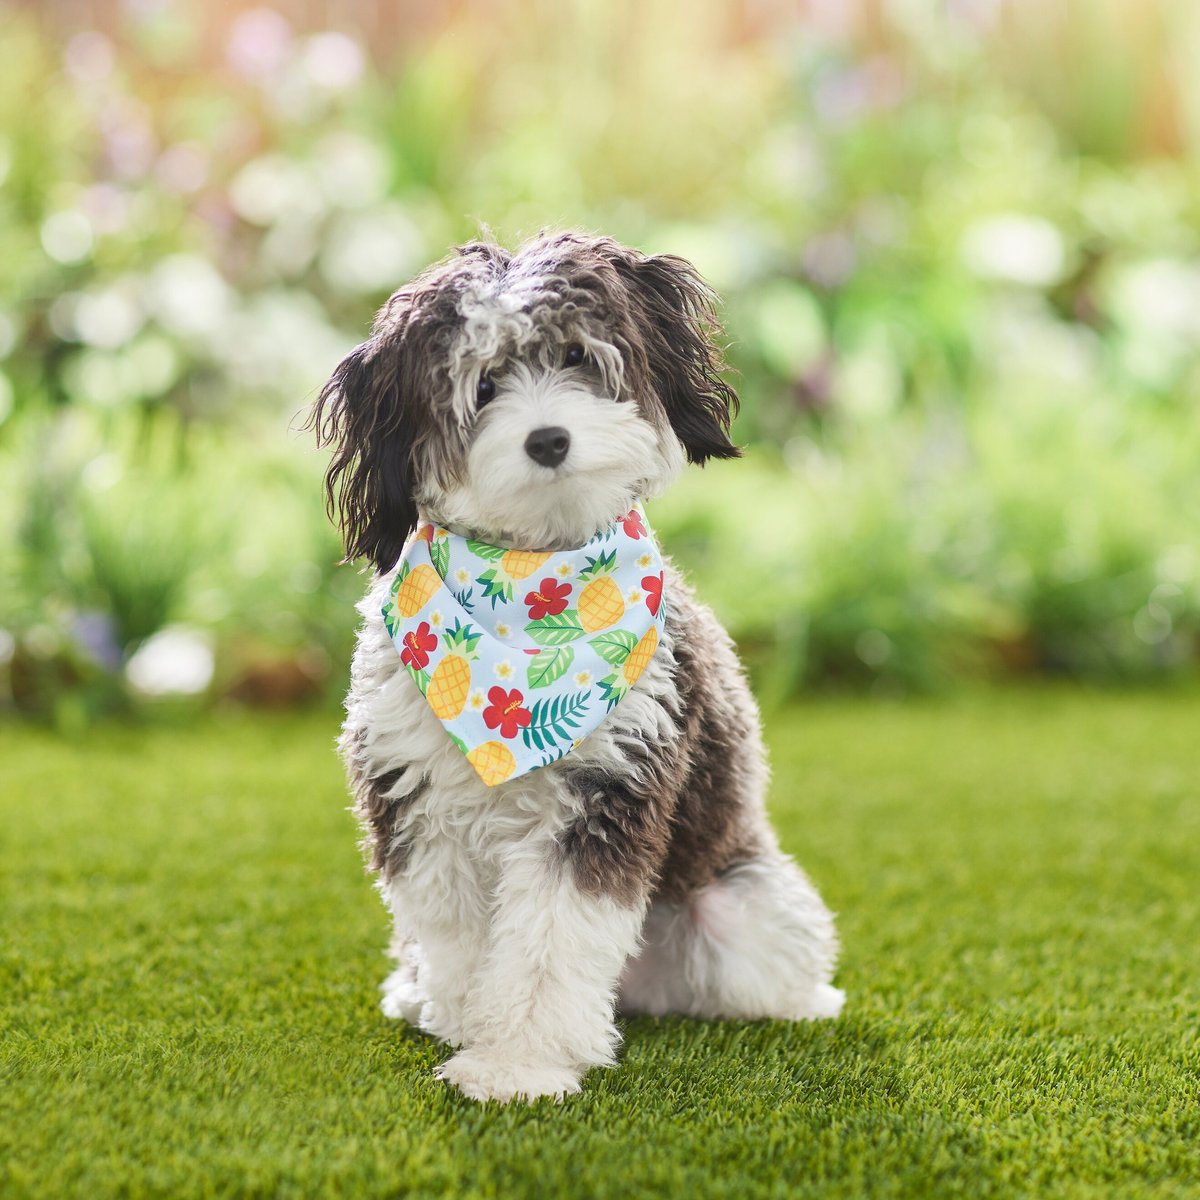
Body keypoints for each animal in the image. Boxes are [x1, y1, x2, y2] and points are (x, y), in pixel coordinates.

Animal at [309, 229, 844, 1099]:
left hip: (737, 909)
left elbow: (548, 943)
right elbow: (459, 939)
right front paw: (468, 1025)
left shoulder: (606, 795)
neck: (532, 592)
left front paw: (516, 1062)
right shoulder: (417, 799)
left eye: (575, 355)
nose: (548, 440)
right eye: (483, 384)